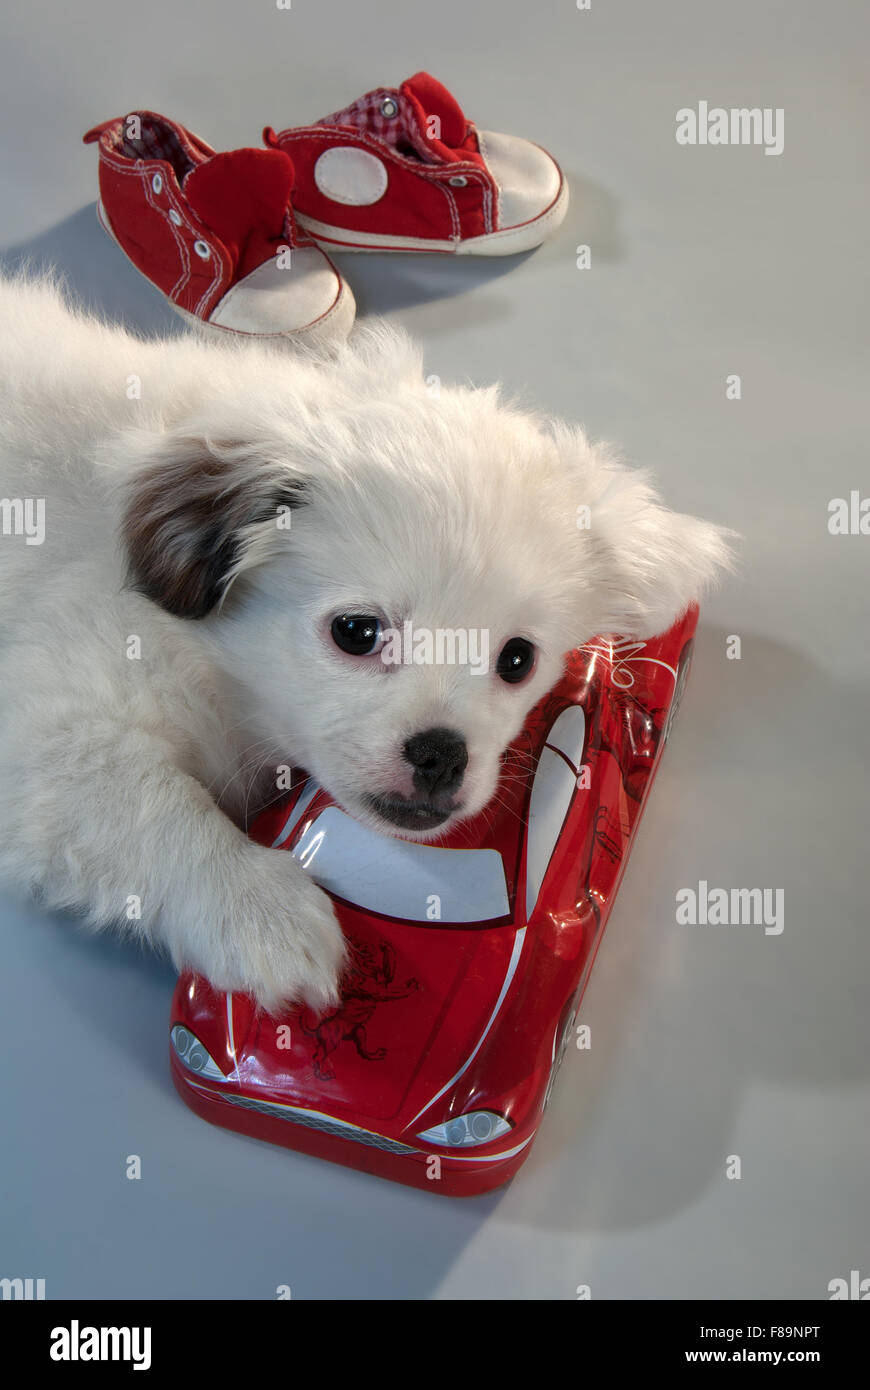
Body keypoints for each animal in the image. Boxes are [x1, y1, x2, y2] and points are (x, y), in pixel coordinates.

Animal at [0, 276, 728, 1011]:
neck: (214, 664)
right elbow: (154, 803)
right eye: (356, 633)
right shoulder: (49, 735)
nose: (440, 754)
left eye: (517, 659)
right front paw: (257, 907)